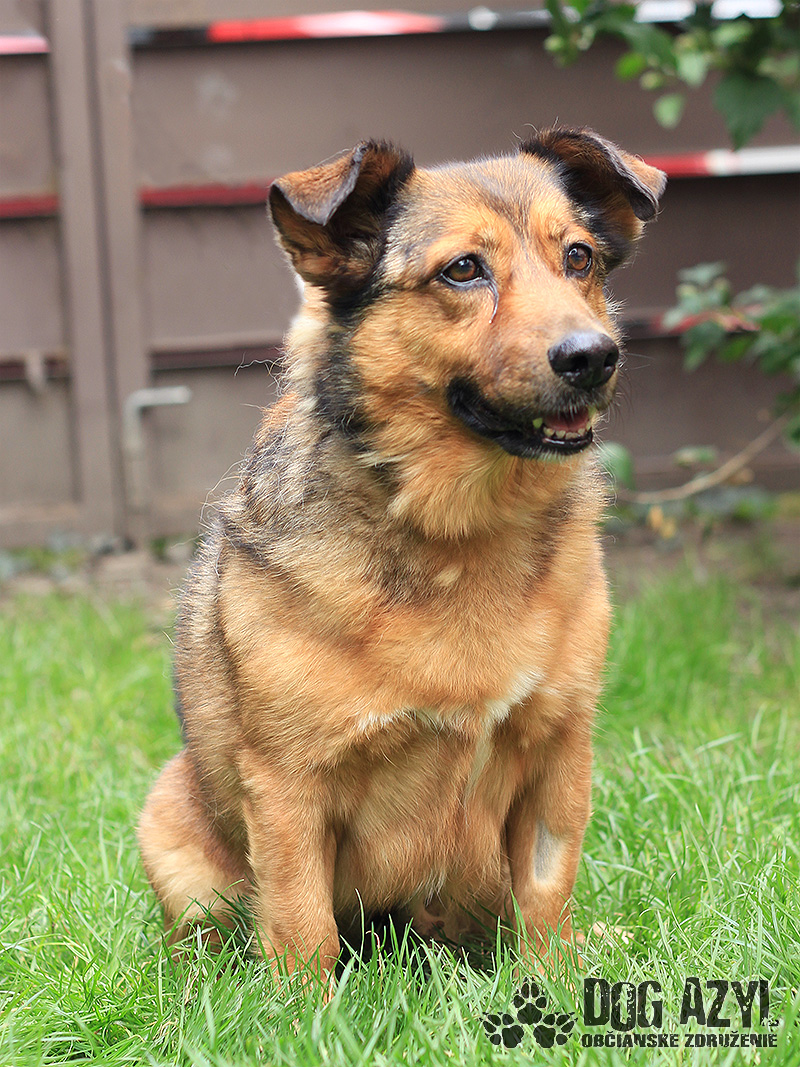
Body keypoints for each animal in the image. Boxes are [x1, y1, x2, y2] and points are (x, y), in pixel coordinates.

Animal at [138, 128, 664, 983]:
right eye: (463, 269)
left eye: (580, 257)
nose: (594, 355)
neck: (461, 529)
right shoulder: (287, 786)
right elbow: (301, 927)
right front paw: (304, 1011)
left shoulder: (558, 754)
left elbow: (547, 894)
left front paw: (549, 985)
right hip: (172, 829)